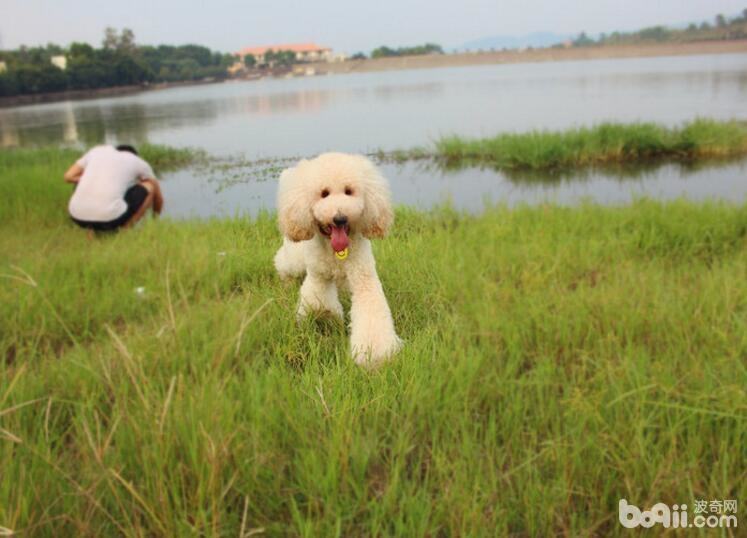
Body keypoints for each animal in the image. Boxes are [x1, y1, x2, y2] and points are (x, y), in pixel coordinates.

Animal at [274, 153, 404, 366]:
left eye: (349, 191)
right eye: (324, 193)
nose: (340, 218)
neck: (337, 252)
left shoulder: (363, 278)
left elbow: (371, 311)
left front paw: (375, 354)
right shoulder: (319, 277)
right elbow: (319, 303)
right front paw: (324, 319)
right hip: (294, 255)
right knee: (283, 263)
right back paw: (286, 282)